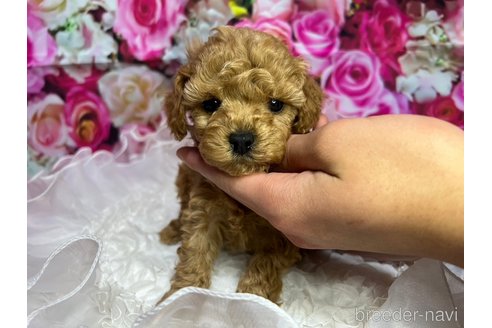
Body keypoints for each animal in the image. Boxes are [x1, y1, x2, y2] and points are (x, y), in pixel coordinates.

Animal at [160, 26, 324, 304]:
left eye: (275, 104)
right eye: (211, 104)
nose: (242, 139)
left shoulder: (284, 234)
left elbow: (265, 264)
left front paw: (253, 300)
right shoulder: (203, 208)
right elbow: (194, 250)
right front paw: (179, 295)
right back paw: (173, 229)